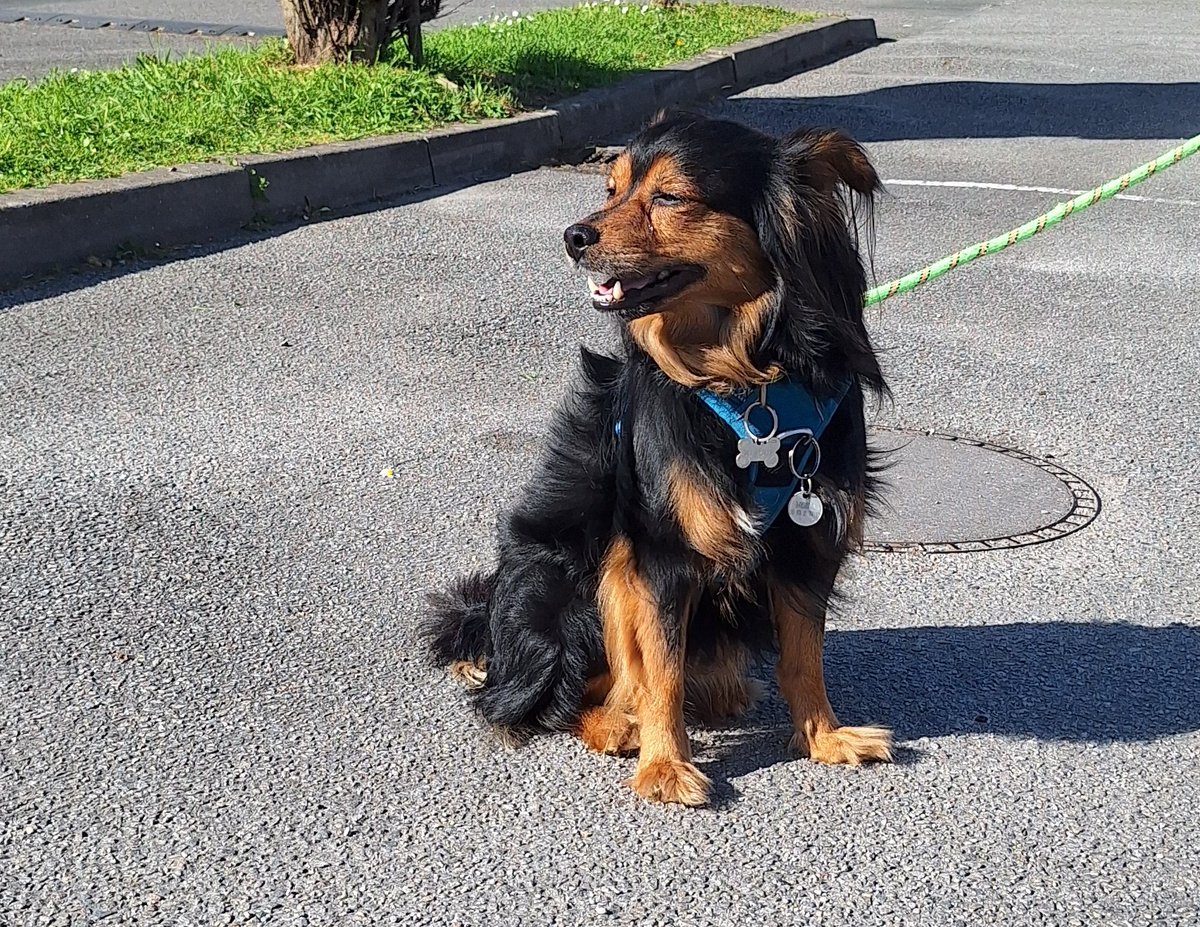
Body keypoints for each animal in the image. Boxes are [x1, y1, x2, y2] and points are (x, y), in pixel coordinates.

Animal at [429, 110, 892, 802]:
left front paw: (824, 737)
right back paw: (617, 725)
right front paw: (666, 766)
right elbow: (662, 671)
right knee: (550, 699)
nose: (573, 236)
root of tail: (492, 627)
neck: (746, 377)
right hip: (576, 580)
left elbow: (805, 653)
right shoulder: (661, 553)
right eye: (611, 188)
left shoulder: (809, 541)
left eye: (670, 197)